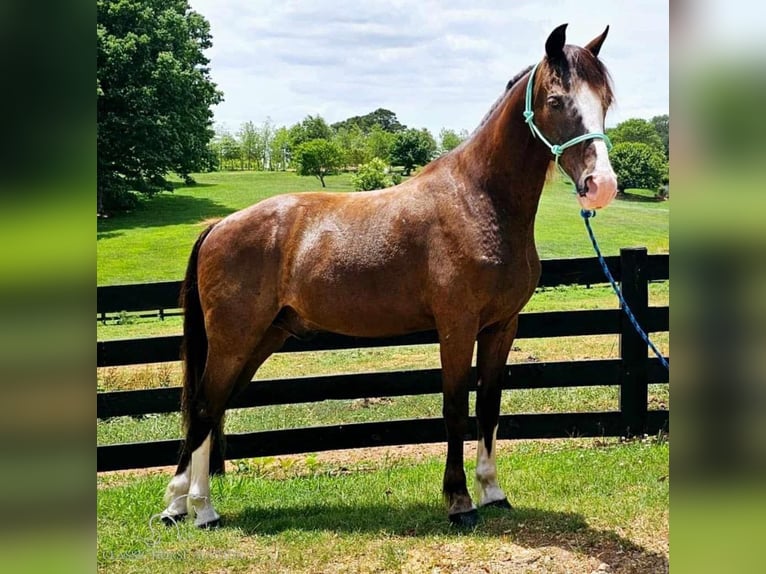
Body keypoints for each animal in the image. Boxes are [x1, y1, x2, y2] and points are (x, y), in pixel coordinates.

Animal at [160, 25, 616, 532]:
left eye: (605, 99)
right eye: (556, 101)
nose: (601, 185)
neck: (479, 200)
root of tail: (219, 226)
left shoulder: (502, 327)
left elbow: (489, 406)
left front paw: (493, 491)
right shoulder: (457, 327)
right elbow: (455, 409)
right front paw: (459, 502)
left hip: (260, 339)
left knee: (211, 408)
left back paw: (184, 506)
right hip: (233, 339)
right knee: (204, 407)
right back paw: (197, 508)